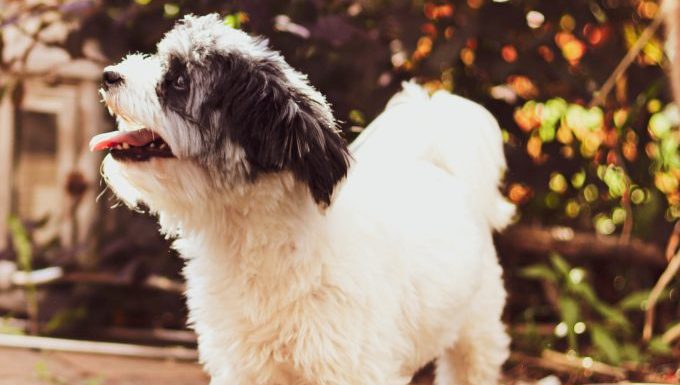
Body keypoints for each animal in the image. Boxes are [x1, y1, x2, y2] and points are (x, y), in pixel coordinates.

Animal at [91, 13, 516, 382]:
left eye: (179, 80)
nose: (109, 74)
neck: (254, 238)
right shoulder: (242, 367)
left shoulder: (349, 367)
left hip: (476, 337)